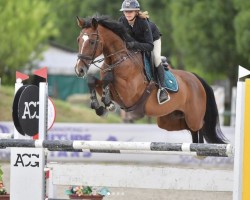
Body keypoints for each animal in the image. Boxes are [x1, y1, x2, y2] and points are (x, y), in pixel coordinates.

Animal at [73, 16, 227, 144]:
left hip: (193, 117)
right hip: (169, 120)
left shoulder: (129, 93)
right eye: (78, 40)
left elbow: (108, 80)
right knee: (190, 129)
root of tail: (196, 78)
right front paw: (100, 105)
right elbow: (92, 81)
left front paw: (106, 102)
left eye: (92, 42)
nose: (79, 70)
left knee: (199, 128)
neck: (118, 59)